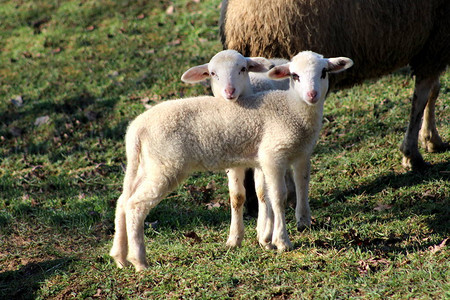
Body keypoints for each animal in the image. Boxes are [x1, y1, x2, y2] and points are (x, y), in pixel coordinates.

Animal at [110, 50, 354, 270]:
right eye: (294, 76)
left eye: (323, 72)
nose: (312, 94)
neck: (292, 109)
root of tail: (137, 128)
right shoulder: (272, 155)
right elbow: (278, 197)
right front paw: (282, 241)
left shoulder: (295, 154)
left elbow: (286, 189)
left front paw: (276, 234)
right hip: (166, 165)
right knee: (135, 205)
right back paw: (139, 261)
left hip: (147, 164)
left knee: (123, 200)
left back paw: (120, 257)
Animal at [220, 0, 448, 171]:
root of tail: (237, 21)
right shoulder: (437, 40)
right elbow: (421, 97)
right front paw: (412, 154)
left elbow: (433, 91)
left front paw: (431, 139)